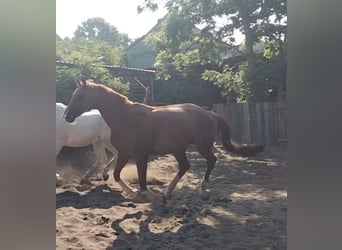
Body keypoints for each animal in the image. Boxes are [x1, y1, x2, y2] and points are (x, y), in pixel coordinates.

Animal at [62, 79, 264, 201]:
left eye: (80, 95)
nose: (66, 116)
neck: (126, 118)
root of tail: (209, 114)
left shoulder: (141, 156)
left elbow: (142, 181)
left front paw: (148, 196)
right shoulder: (124, 154)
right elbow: (117, 175)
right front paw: (133, 194)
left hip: (202, 146)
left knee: (212, 161)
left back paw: (203, 190)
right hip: (178, 149)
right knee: (185, 166)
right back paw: (167, 193)